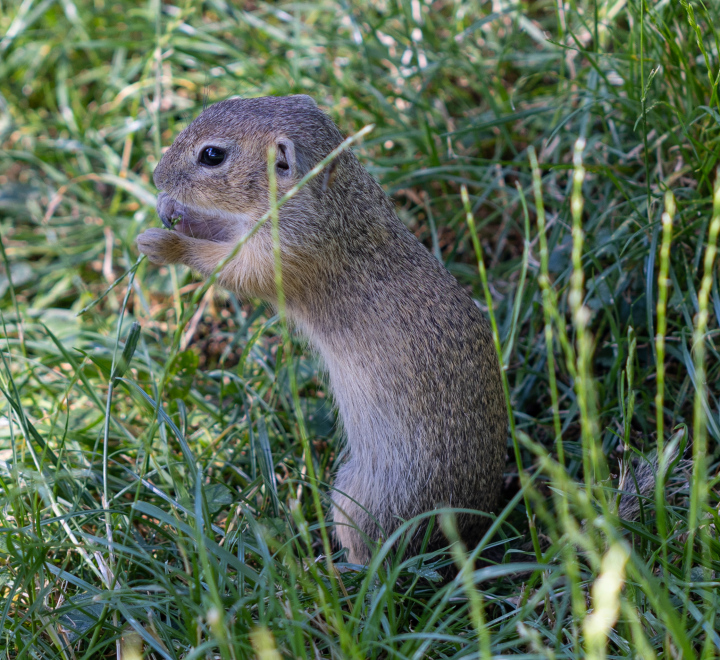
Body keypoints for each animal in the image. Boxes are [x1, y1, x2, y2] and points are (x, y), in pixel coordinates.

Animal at [135, 95, 506, 564]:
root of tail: (477, 524)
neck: (330, 201)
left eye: (212, 155)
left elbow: (228, 264)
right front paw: (172, 211)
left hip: (359, 499)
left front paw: (164, 242)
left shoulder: (281, 253)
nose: (156, 175)